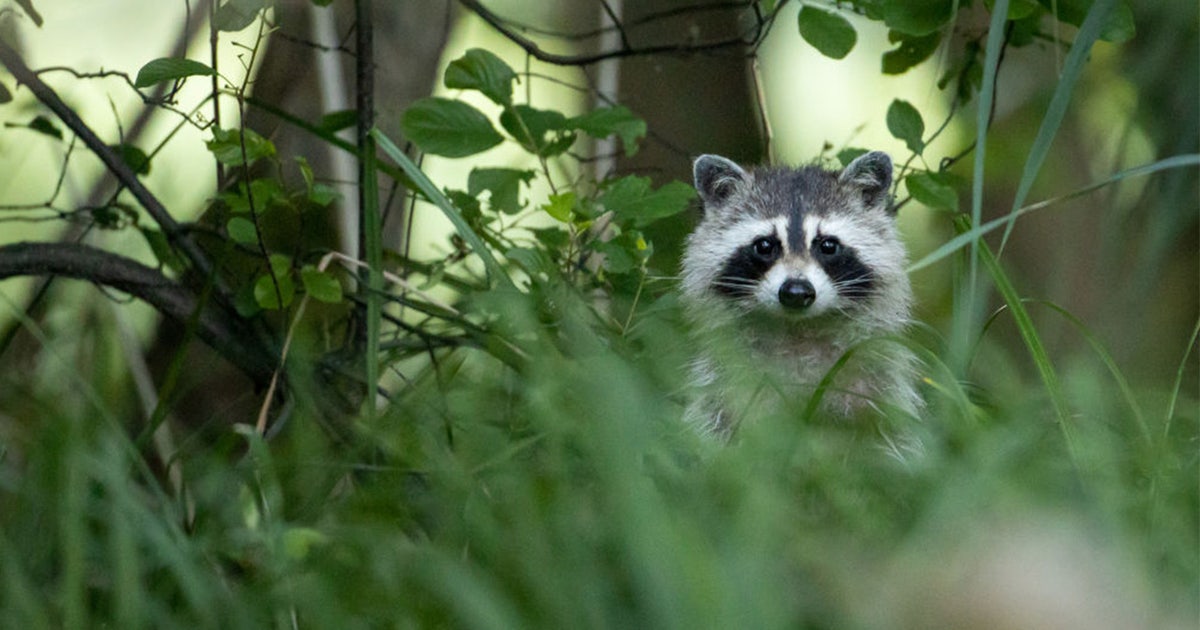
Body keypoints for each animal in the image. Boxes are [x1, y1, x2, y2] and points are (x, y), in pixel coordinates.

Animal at [680, 151, 921, 441]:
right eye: (764, 245)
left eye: (828, 245)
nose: (795, 292)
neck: (798, 331)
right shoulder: (724, 381)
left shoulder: (876, 377)